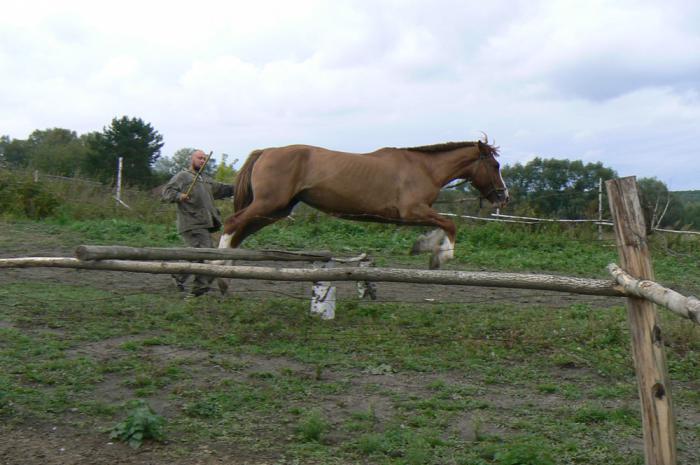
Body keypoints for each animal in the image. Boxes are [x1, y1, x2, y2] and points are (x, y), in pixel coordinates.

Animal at [219, 136, 508, 268]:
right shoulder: (412, 211)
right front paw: (443, 254)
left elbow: (441, 226)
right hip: (268, 204)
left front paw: (426, 248)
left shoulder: (416, 214)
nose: (503, 196)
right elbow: (449, 224)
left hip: (275, 210)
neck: (424, 168)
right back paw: (219, 262)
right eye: (495, 165)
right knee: (232, 223)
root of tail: (266, 151)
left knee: (240, 232)